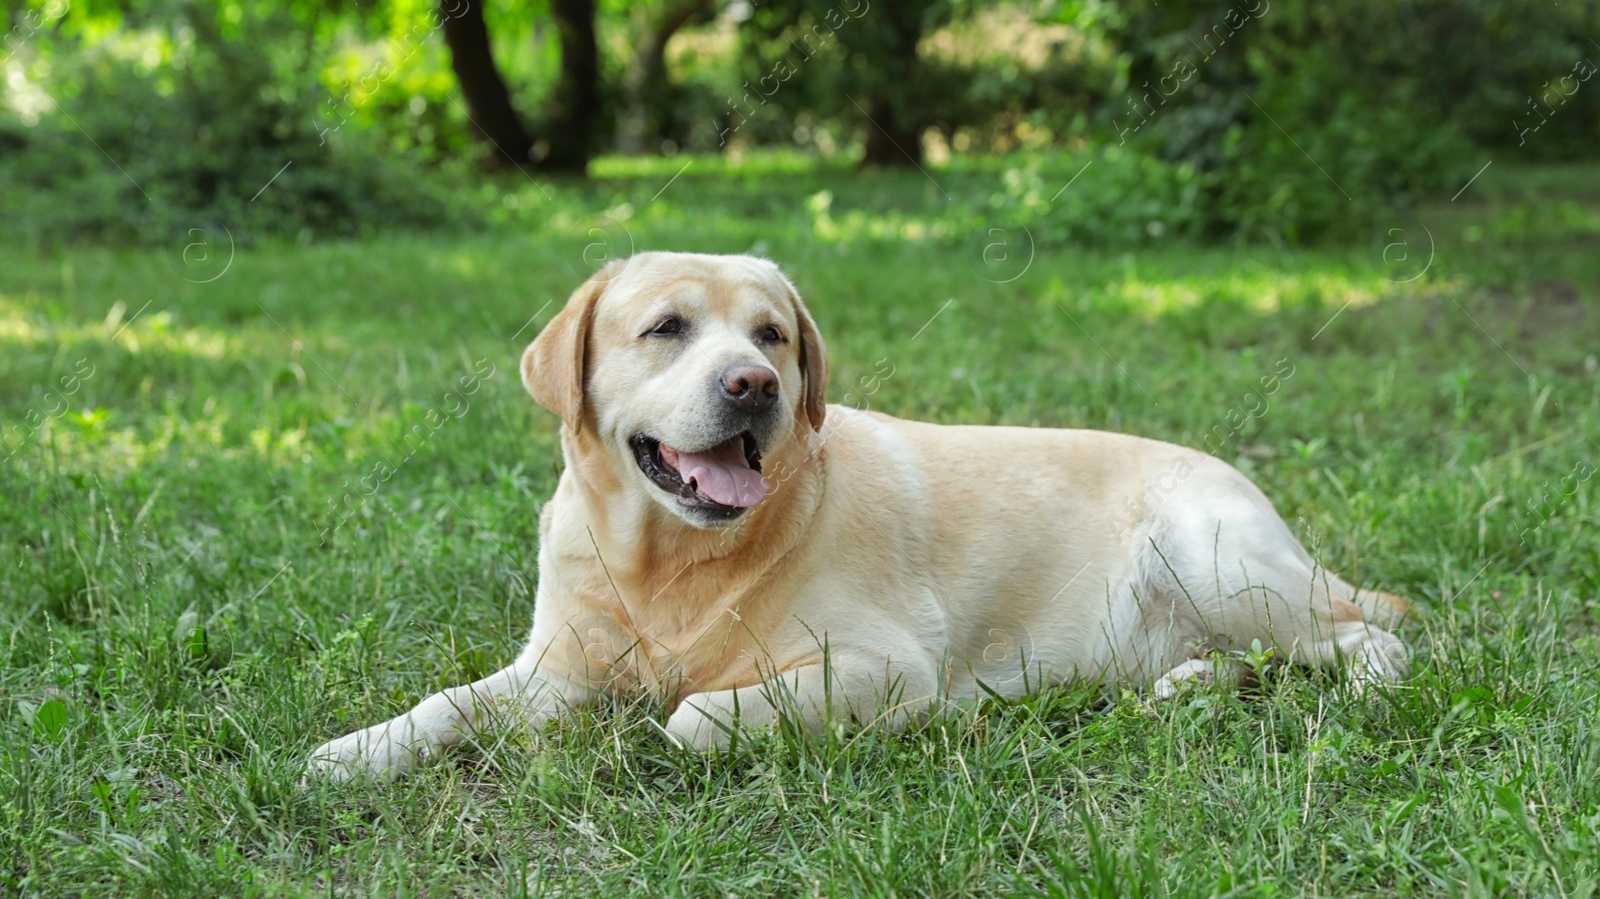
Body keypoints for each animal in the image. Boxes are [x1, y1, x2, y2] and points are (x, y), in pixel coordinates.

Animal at [305, 249, 1408, 777]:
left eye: (772, 336)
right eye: (666, 327)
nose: (754, 385)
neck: (667, 563)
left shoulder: (882, 661)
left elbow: (691, 715)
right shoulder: (555, 670)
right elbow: (446, 704)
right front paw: (354, 752)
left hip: (1214, 553)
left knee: (1369, 638)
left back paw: (1359, 690)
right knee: (1249, 659)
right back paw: (1187, 684)